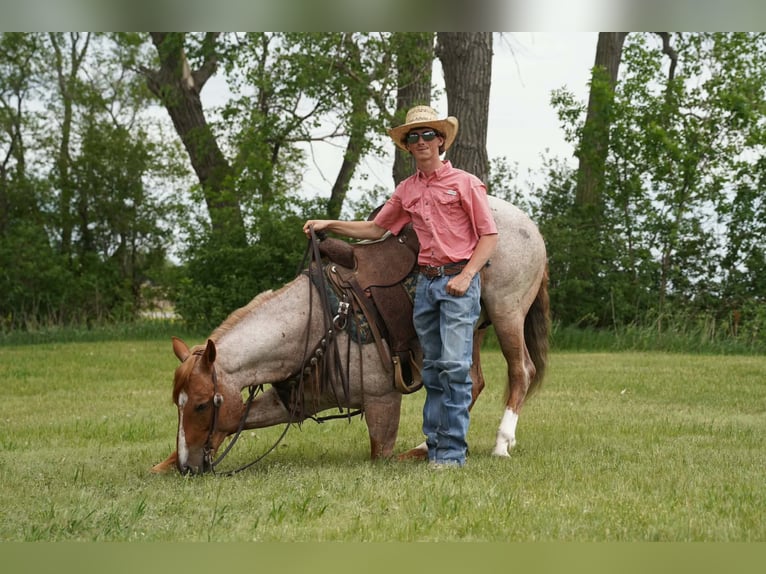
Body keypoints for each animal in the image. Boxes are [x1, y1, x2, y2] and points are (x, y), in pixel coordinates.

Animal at [151, 195, 549, 475]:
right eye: (178, 404)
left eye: (202, 404)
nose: (188, 468)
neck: (316, 324)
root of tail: (530, 225)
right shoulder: (295, 400)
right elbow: (235, 420)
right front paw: (163, 464)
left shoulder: (383, 402)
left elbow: (381, 454)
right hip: (473, 328)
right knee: (472, 381)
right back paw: (429, 447)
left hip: (507, 311)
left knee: (520, 371)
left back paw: (499, 444)